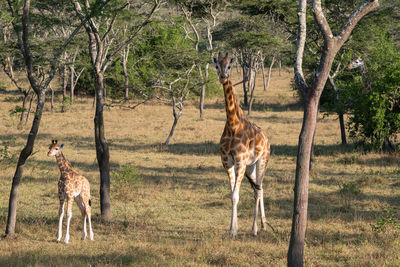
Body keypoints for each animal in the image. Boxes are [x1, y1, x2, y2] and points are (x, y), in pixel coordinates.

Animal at [211, 52, 270, 237]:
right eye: (216, 65)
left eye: (229, 65)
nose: (223, 77)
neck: (232, 125)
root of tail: (267, 138)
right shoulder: (227, 162)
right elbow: (232, 196)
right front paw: (233, 229)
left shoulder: (240, 161)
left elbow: (236, 196)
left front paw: (233, 230)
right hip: (250, 167)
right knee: (259, 188)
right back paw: (263, 225)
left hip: (262, 161)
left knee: (259, 189)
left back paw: (255, 229)